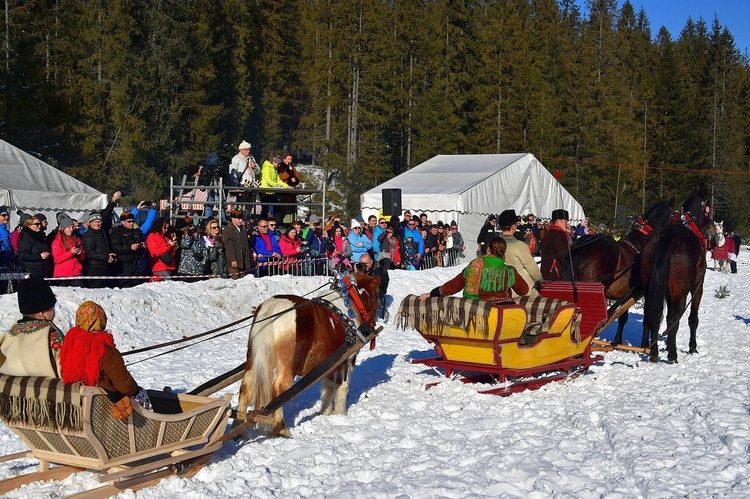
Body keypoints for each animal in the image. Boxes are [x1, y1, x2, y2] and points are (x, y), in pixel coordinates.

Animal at [238, 272, 382, 436]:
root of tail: (271, 309)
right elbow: (342, 386)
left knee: (246, 388)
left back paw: (239, 427)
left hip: (252, 359)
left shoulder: (329, 362)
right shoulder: (348, 358)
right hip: (288, 366)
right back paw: (281, 429)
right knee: (280, 390)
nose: (372, 325)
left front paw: (325, 412)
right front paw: (340, 413)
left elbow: (328, 387)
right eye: (375, 297)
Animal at [560, 198, 676, 344]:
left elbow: (622, 316)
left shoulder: (624, 293)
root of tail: (579, 247)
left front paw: (617, 341)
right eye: (674, 216)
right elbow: (638, 317)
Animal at [640, 188, 716, 364]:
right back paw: (672, 356)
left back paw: (654, 352)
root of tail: (666, 239)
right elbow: (692, 319)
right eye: (707, 210)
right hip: (680, 292)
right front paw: (692, 347)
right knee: (674, 318)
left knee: (652, 316)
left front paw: (668, 346)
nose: (712, 228)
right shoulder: (697, 287)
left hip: (651, 288)